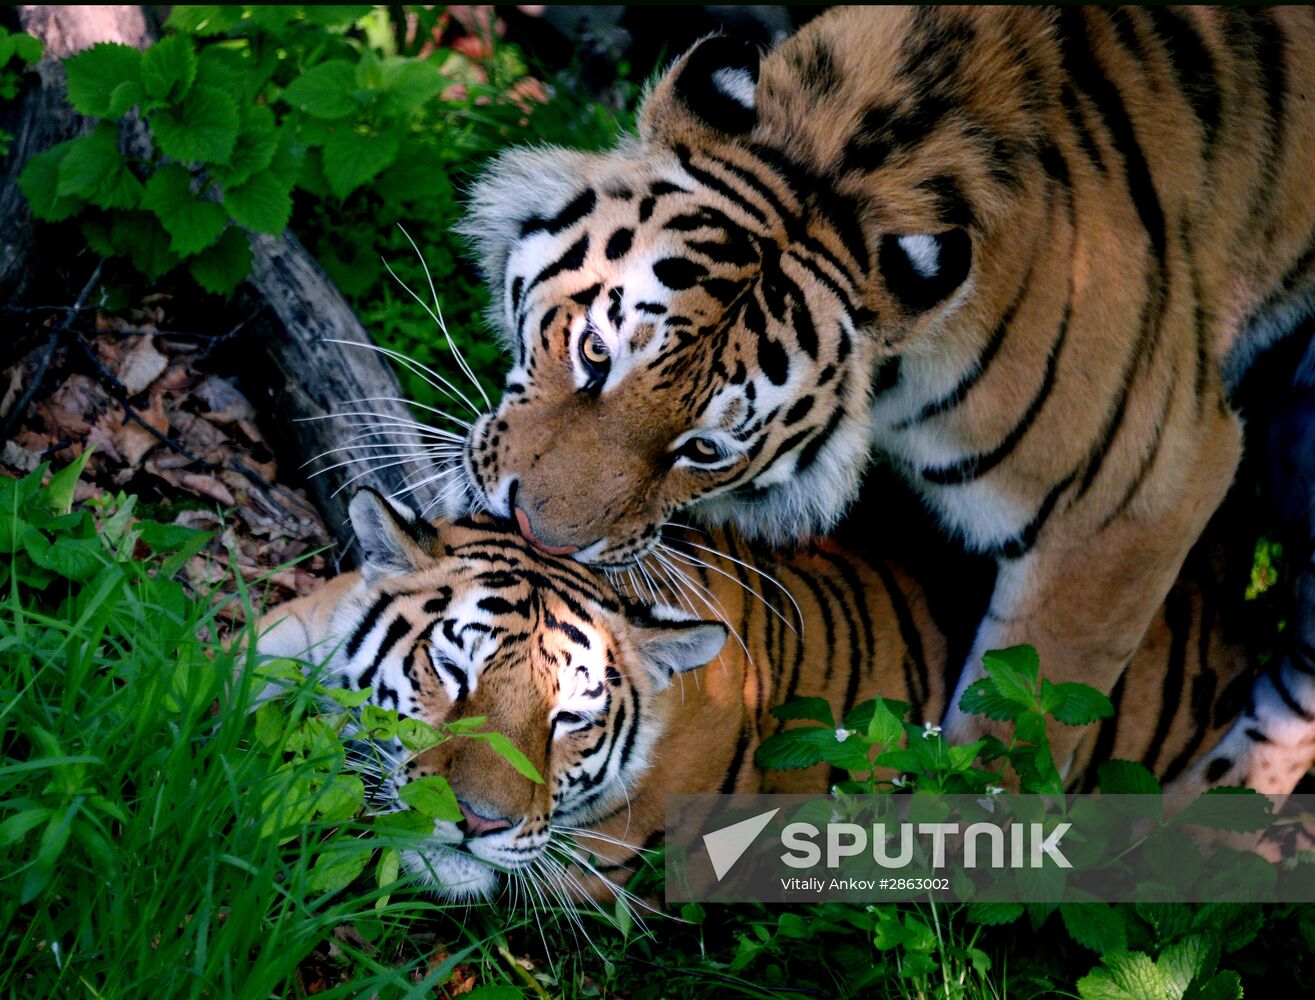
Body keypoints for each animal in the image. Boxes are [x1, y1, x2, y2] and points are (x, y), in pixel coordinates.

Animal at [452, 7, 1315, 789]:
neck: (849, 168)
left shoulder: (1137, 500)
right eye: (594, 352)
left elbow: (1006, 751)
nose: (537, 535)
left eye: (703, 449)